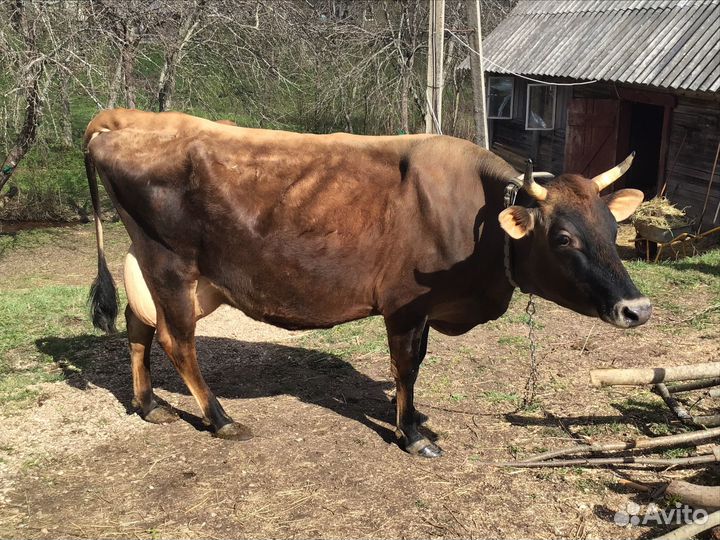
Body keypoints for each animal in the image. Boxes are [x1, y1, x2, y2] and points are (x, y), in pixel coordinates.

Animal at [83, 109, 651, 458]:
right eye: (563, 238)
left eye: (611, 228)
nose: (637, 309)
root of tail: (125, 121)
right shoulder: (405, 305)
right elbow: (406, 367)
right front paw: (412, 434)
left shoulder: (426, 309)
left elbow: (415, 366)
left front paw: (410, 418)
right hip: (171, 264)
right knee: (177, 340)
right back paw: (220, 418)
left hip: (174, 271)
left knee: (138, 323)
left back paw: (150, 405)